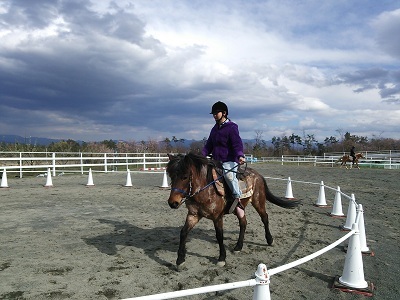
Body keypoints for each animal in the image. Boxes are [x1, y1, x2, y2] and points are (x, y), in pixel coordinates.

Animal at [166, 152, 300, 270]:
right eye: (171, 175)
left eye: (185, 176)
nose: (172, 203)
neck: (206, 189)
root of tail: (258, 175)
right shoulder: (193, 215)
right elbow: (183, 233)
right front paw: (180, 260)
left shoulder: (217, 217)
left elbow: (219, 235)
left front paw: (222, 258)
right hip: (239, 208)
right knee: (243, 223)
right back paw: (238, 246)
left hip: (258, 202)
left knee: (265, 218)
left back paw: (270, 240)